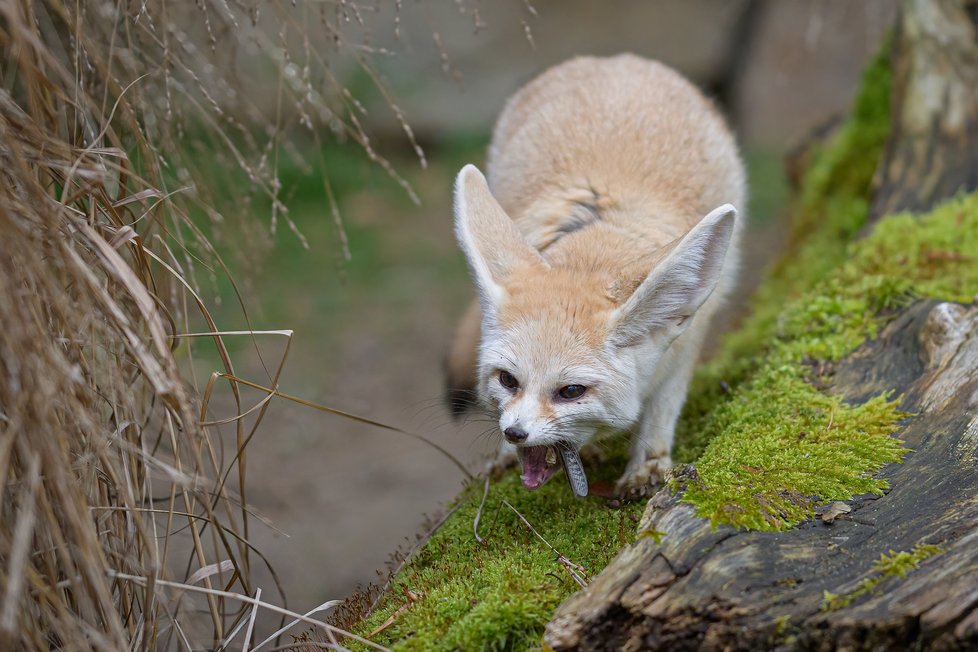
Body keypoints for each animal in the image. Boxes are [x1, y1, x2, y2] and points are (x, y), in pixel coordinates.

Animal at [446, 54, 744, 500]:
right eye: (508, 380)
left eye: (571, 392)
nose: (515, 433)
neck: (594, 246)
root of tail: (615, 60)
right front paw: (507, 454)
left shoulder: (686, 340)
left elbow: (662, 407)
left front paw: (646, 466)